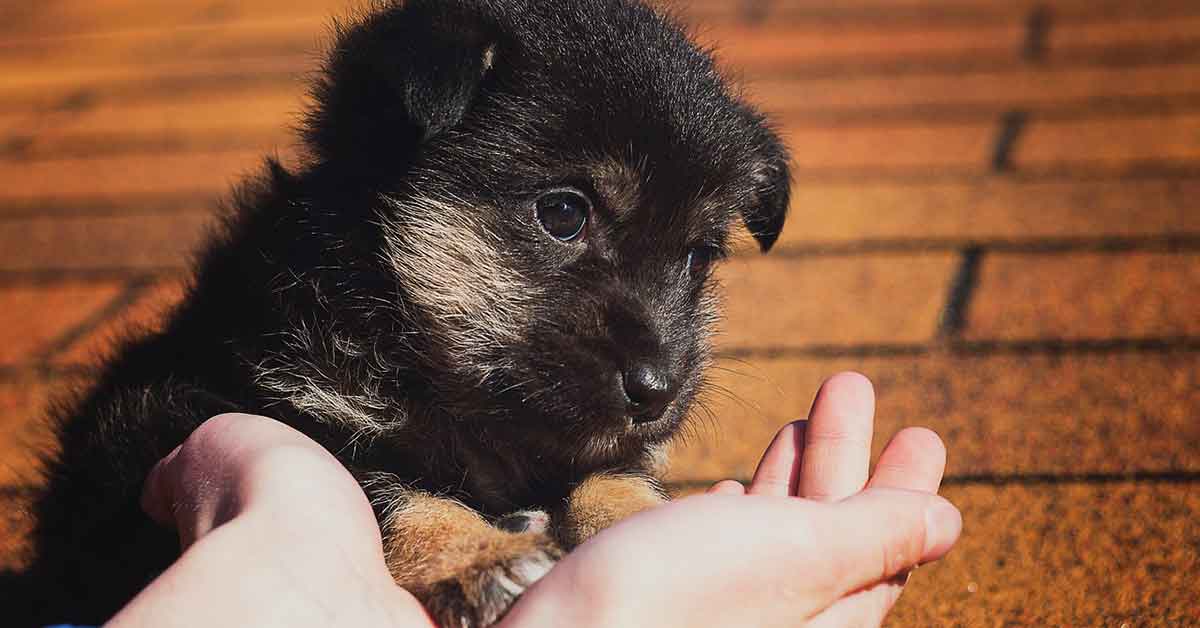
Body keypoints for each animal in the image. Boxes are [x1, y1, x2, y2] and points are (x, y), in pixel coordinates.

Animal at [11, 1, 796, 624]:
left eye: (696, 257)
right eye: (564, 214)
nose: (657, 393)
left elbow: (615, 478)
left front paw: (661, 527)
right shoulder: (221, 410)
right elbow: (391, 493)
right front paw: (477, 557)